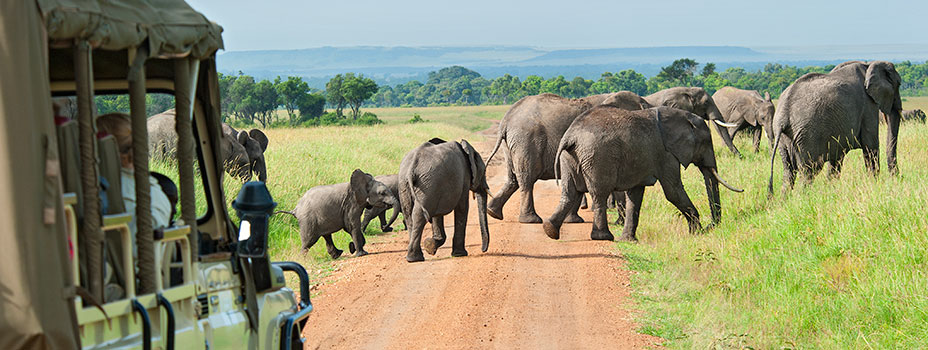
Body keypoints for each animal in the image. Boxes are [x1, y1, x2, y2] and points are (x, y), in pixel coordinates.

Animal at [482, 90, 648, 221]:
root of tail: (506, 119)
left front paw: (573, 220)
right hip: (527, 140)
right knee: (527, 178)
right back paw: (531, 220)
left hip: (512, 143)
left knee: (513, 178)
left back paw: (493, 212)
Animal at [548, 106, 744, 242]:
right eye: (706, 142)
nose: (711, 226)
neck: (681, 117)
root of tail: (571, 136)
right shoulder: (666, 154)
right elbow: (672, 191)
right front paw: (696, 233)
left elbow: (635, 195)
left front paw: (629, 240)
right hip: (597, 157)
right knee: (599, 194)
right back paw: (604, 237)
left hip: (570, 158)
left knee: (570, 192)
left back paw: (550, 230)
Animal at [764, 60, 904, 194]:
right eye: (899, 84)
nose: (898, 177)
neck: (868, 64)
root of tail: (783, 115)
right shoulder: (868, 106)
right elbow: (871, 146)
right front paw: (874, 185)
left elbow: (836, 159)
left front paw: (831, 189)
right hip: (807, 136)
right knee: (809, 171)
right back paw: (803, 197)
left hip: (785, 139)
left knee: (789, 173)